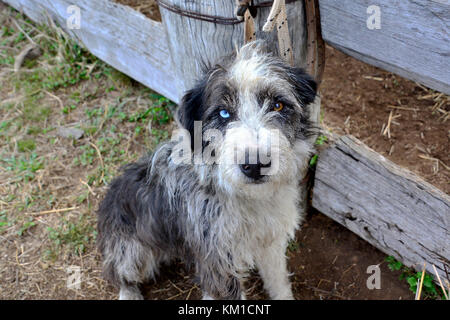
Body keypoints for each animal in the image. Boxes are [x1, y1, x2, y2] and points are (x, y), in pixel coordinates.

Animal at [96, 40, 318, 300]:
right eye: (223, 112)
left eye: (278, 104)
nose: (255, 165)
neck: (246, 197)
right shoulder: (218, 262)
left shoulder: (270, 242)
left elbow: (278, 281)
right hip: (131, 250)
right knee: (120, 274)